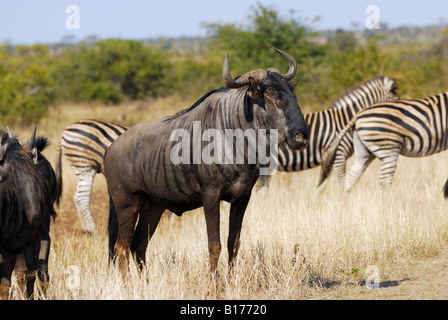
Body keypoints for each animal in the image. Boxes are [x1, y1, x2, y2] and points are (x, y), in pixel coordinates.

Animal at [258, 76, 398, 189]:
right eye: (396, 100)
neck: (345, 120)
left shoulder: (329, 159)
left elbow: (322, 185)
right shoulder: (339, 155)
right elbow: (341, 182)